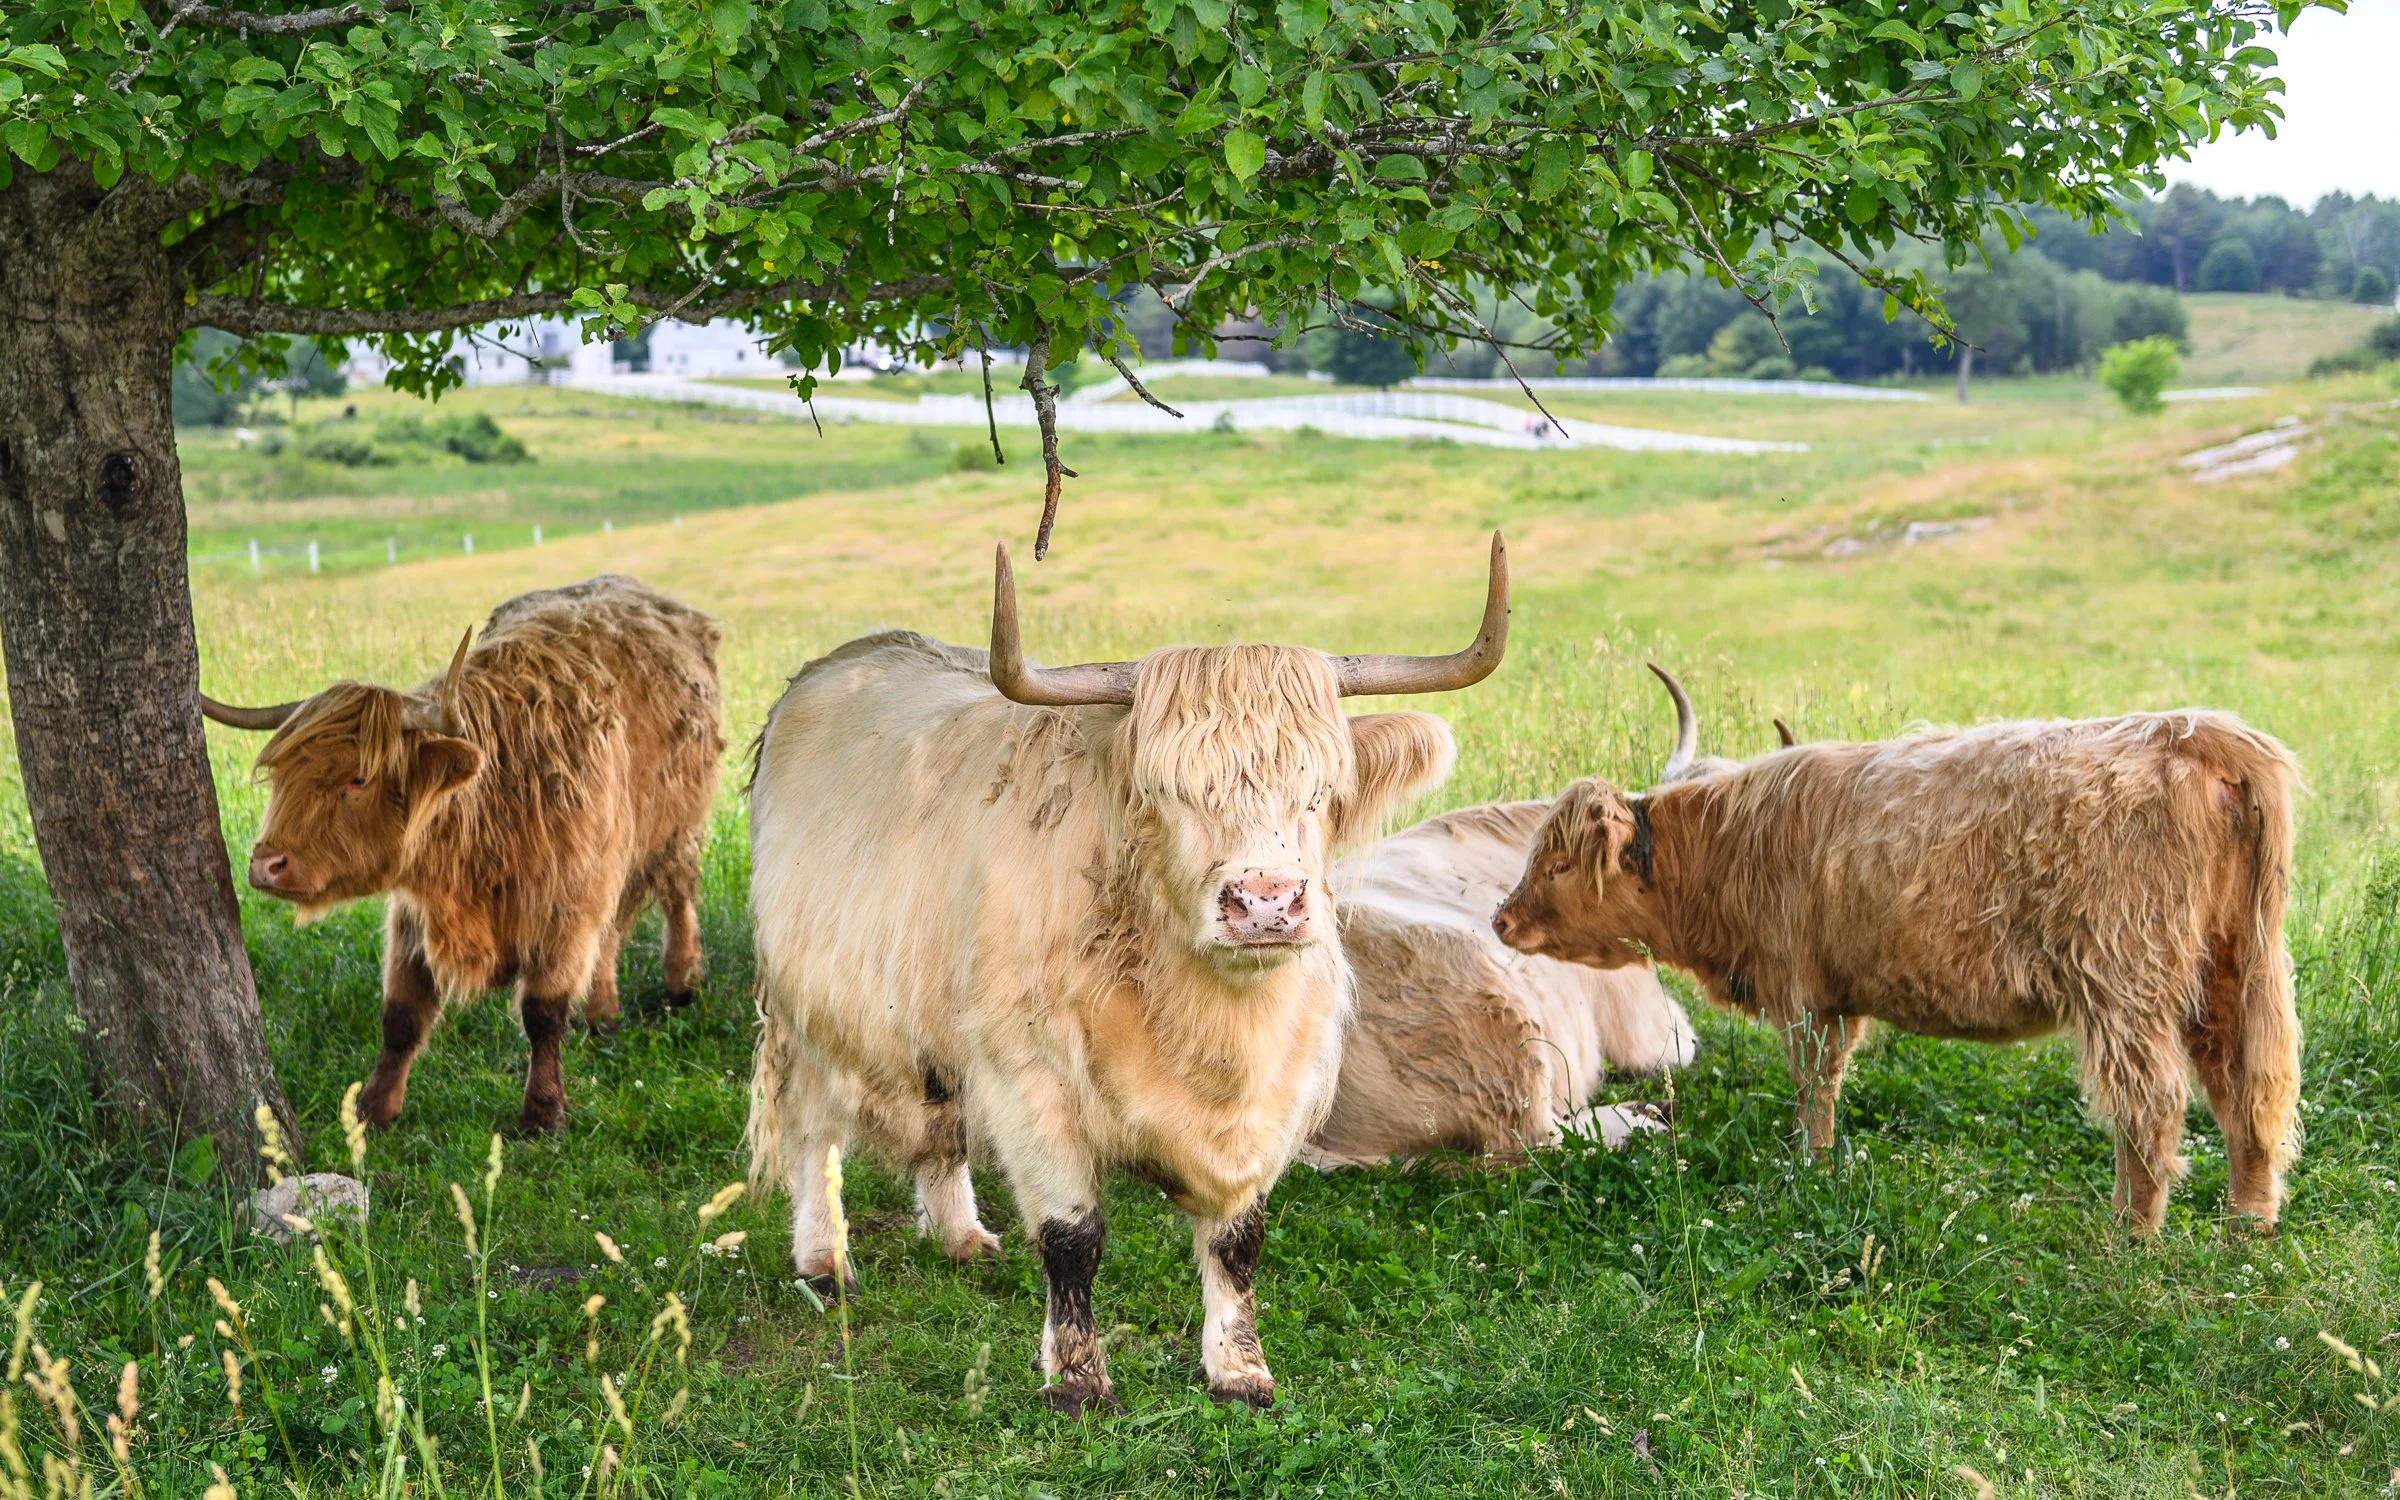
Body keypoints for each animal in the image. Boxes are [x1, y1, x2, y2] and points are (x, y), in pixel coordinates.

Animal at [202, 575, 723, 1133]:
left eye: (358, 779)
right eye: (282, 774)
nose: (265, 865)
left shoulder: (567, 904)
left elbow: (543, 1013)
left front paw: (543, 1113)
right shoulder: (414, 916)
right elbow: (401, 1016)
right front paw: (373, 1110)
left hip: (676, 830)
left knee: (676, 896)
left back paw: (680, 984)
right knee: (614, 930)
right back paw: (602, 1014)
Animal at [745, 536, 1508, 1415]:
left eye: (1322, 791)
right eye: (1165, 792)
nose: (1265, 904)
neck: (1202, 1017)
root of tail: (850, 657)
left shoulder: (1272, 1097)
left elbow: (1238, 1242)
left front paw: (1239, 1369)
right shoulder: (1031, 1081)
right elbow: (1073, 1237)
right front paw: (1078, 1379)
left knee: (941, 1126)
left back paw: (962, 1236)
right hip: (808, 1009)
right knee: (814, 1130)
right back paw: (822, 1258)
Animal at [1491, 679, 2300, 1236]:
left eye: (1558, 864)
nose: (1501, 919)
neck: (1728, 852)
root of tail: (2193, 732)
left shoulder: (1804, 995)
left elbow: (1814, 1086)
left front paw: (1810, 1171)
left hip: (2126, 976)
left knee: (2153, 1104)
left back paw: (2129, 1237)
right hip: (2235, 963)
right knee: (2249, 1086)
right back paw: (2247, 1225)